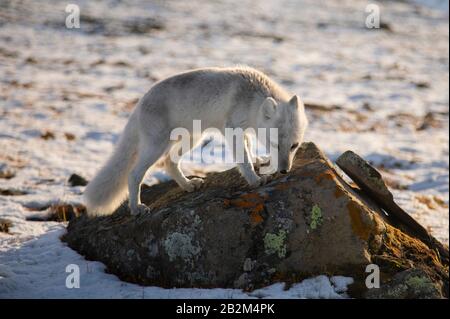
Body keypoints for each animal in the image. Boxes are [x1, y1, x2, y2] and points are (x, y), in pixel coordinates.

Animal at [84, 67, 308, 218]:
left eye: (294, 146)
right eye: (275, 144)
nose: (284, 170)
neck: (252, 99)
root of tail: (138, 105)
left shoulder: (244, 132)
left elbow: (249, 149)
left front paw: (258, 161)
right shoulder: (232, 129)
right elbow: (242, 159)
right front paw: (254, 179)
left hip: (192, 139)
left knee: (169, 163)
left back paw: (188, 185)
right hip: (157, 145)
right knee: (134, 174)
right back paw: (136, 208)